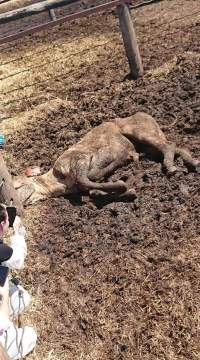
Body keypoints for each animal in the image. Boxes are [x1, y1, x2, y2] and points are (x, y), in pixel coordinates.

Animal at [14, 112, 198, 205]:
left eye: (16, 184)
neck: (58, 180)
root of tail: (148, 116)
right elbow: (93, 191)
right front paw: (128, 191)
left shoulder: (79, 159)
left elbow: (90, 177)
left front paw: (124, 183)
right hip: (149, 142)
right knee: (174, 146)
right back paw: (193, 162)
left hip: (140, 131)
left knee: (169, 145)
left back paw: (171, 168)